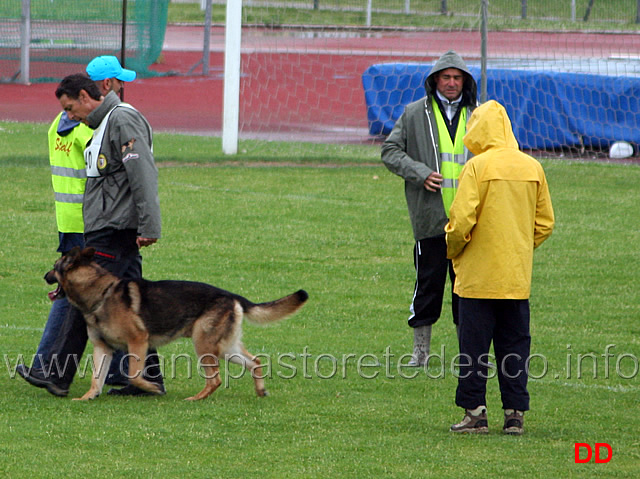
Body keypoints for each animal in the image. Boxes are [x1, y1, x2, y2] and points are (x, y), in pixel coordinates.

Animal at [43, 248, 308, 402]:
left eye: (54, 267)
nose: (44, 276)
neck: (100, 292)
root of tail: (231, 296)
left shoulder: (138, 340)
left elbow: (134, 374)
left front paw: (152, 388)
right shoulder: (102, 348)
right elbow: (96, 378)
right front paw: (88, 397)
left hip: (204, 345)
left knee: (215, 379)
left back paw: (196, 398)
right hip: (225, 348)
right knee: (255, 361)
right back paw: (260, 390)